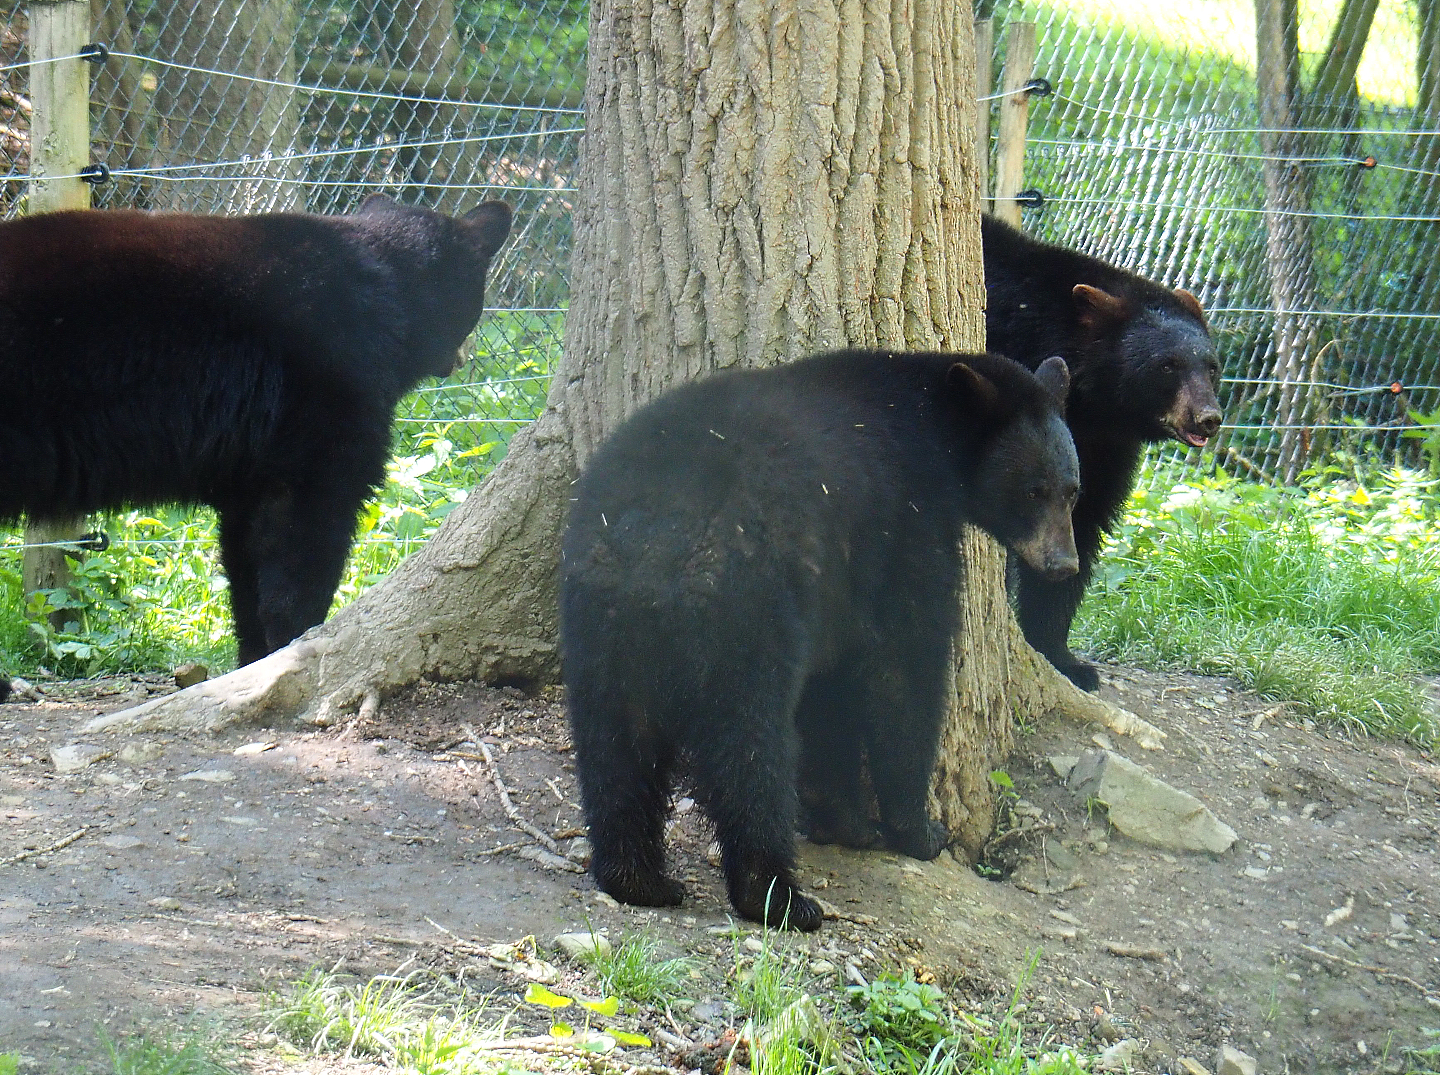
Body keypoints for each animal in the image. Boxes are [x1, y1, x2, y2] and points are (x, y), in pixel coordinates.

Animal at [0, 195, 512, 690]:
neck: (389, 291)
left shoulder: (249, 463)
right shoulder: (322, 408)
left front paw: (252, 661)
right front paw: (294, 648)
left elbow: (245, 559)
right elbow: (302, 540)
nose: (462, 358)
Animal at [559, 349, 1080, 930]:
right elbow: (904, 668)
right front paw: (919, 829)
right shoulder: (907, 523)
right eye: (1034, 490)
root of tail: (653, 545)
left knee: (613, 745)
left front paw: (848, 822)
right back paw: (779, 896)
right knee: (752, 750)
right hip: (744, 610)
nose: (1064, 564)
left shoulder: (838, 590)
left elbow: (833, 697)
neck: (934, 424)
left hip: (599, 620)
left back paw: (636, 878)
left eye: (1072, 490)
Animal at [982, 215, 1223, 691]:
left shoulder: (1100, 445)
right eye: (1166, 365)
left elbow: (1080, 517)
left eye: (1210, 366)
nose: (1208, 417)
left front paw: (1060, 655)